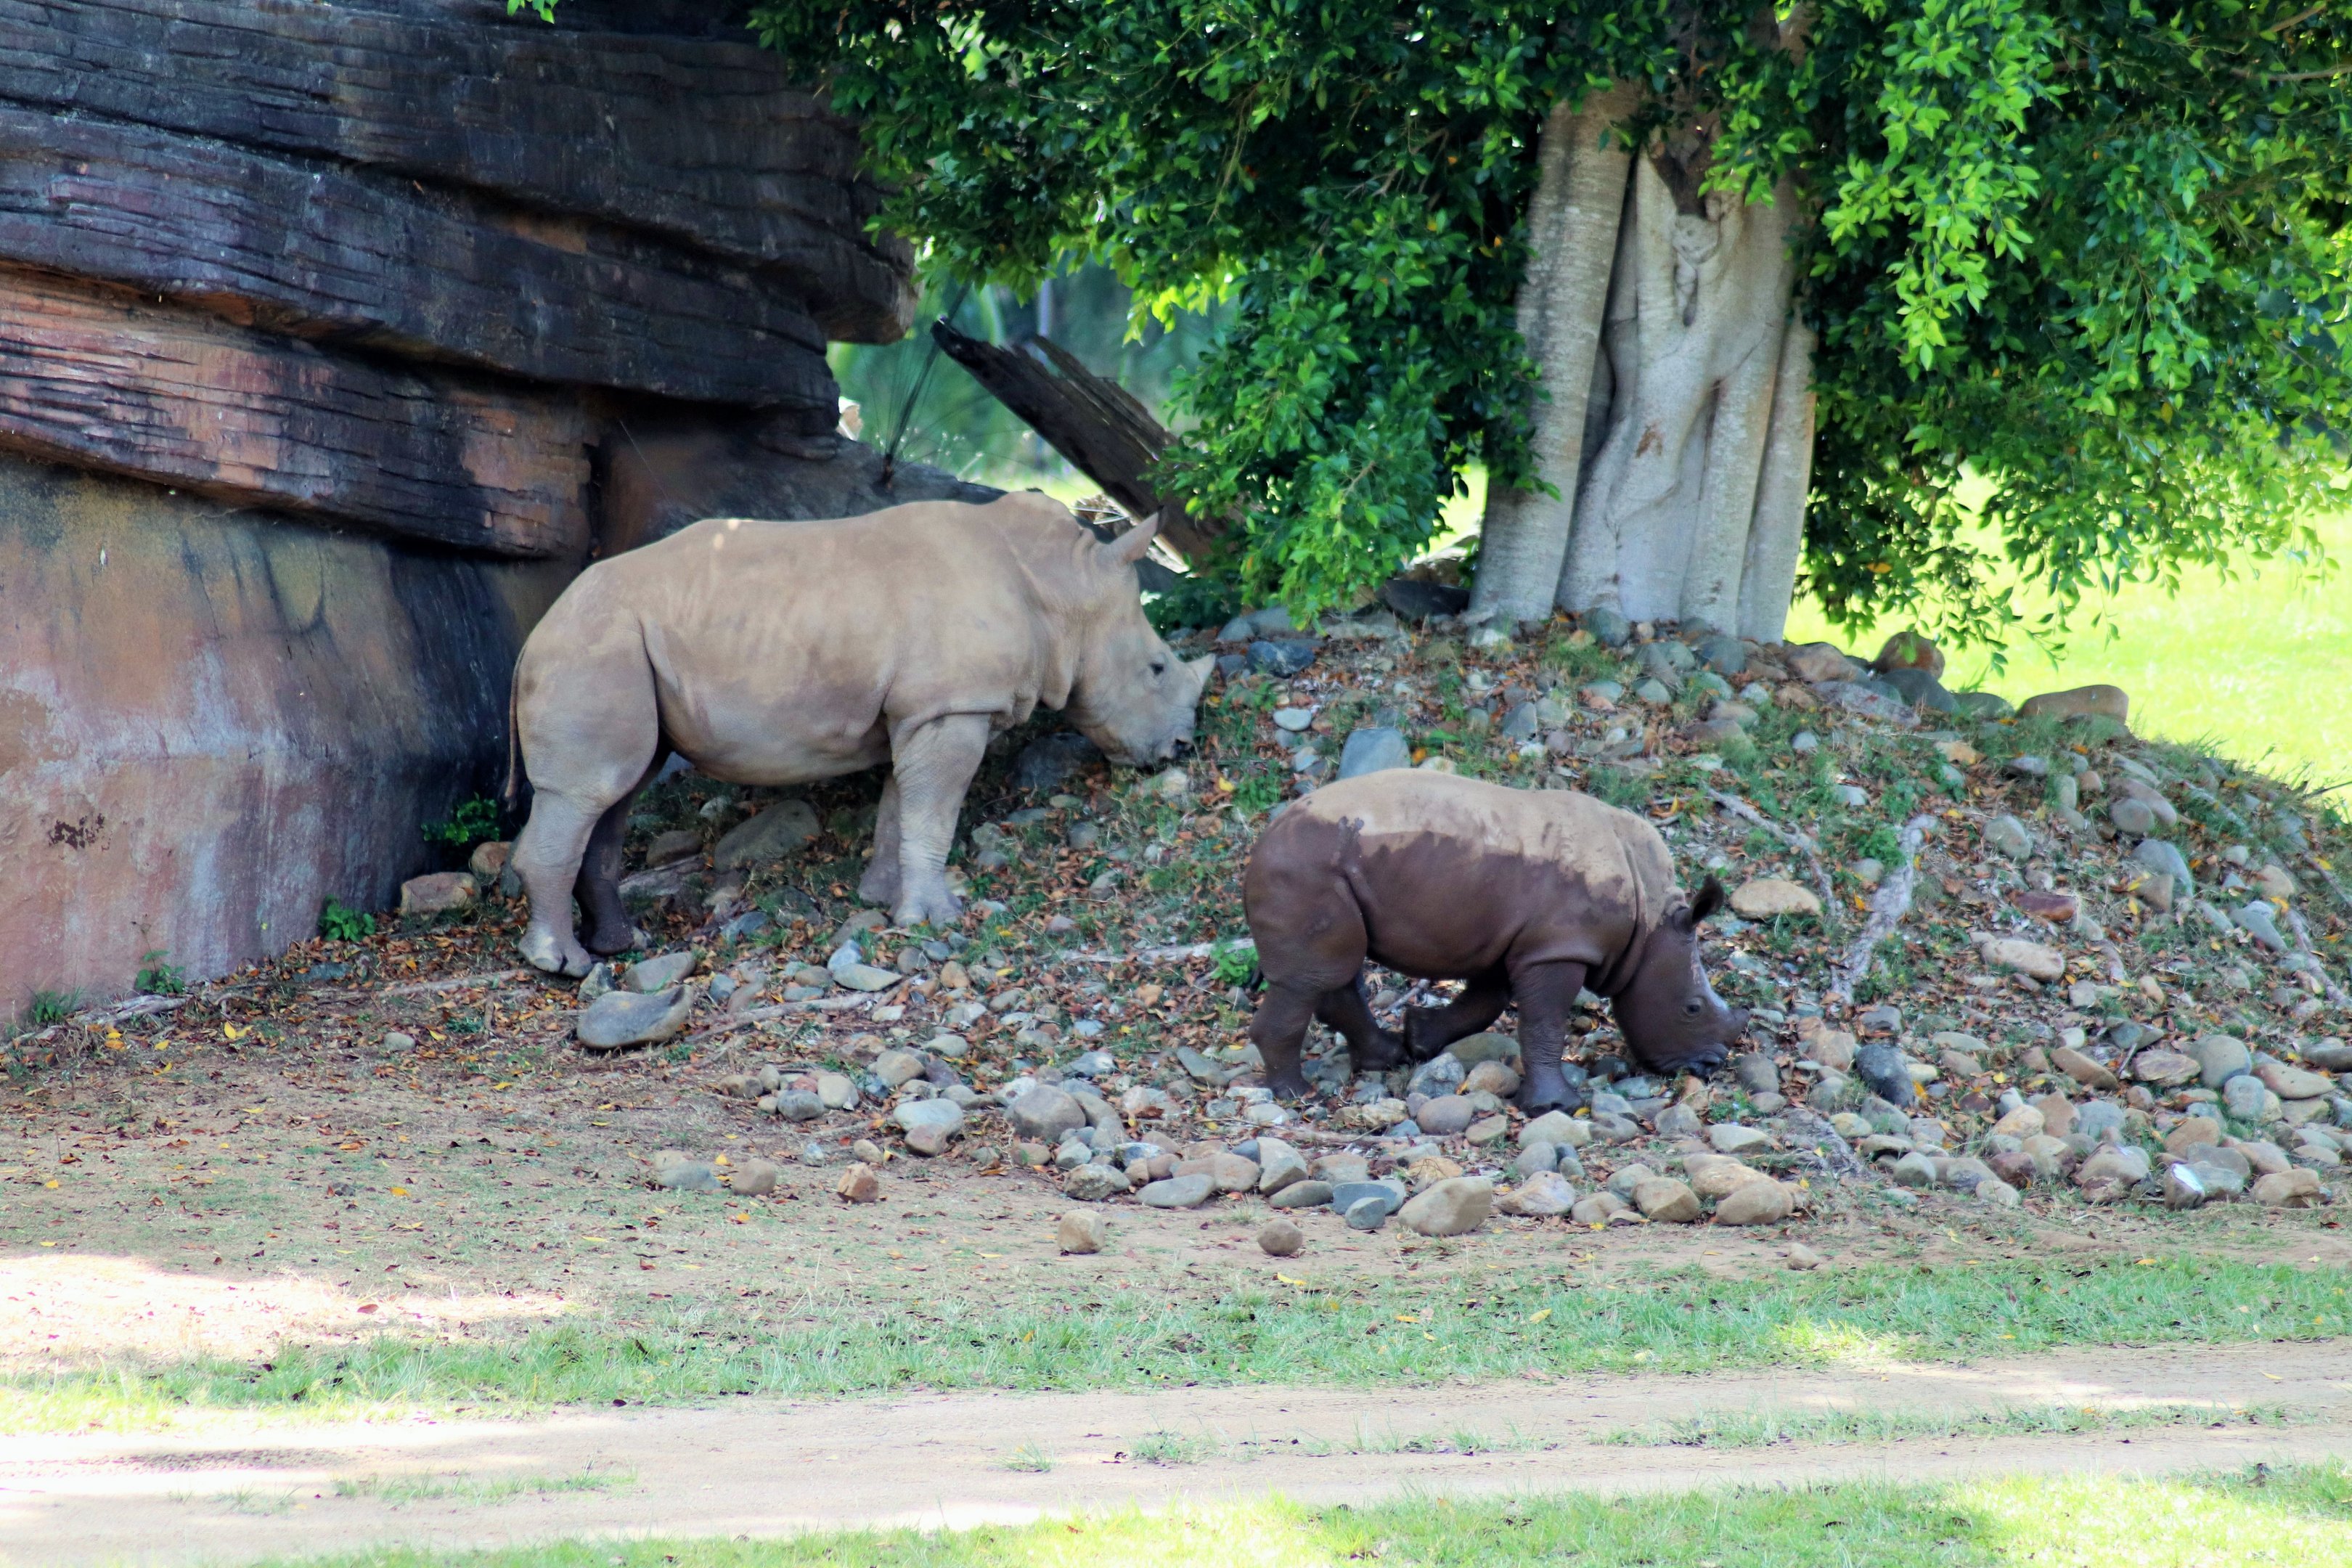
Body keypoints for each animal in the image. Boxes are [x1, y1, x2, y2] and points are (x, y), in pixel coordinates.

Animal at [507, 495, 1212, 977]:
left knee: (618, 791)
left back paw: (621, 946)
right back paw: (561, 965)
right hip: (592, 646)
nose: (1179, 749)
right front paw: (936, 919)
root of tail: (534, 634)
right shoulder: (954, 706)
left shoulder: (922, 711)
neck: (1062, 587)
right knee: (592, 791)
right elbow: (935, 811)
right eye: (1156, 669)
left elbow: (904, 803)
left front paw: (884, 899)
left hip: (614, 645)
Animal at [1242, 770, 1746, 1110]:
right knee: (1312, 977)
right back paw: (1298, 1095)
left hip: (1327, 870)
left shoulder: (1514, 942)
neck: (1650, 924)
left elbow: (1487, 1002)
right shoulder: (1557, 948)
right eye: (1692, 1009)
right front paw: (1556, 1105)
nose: (1710, 1066)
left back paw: (1386, 1058)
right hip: (1305, 870)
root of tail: (1262, 842)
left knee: (1334, 970)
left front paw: (1421, 1039)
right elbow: (1544, 1021)